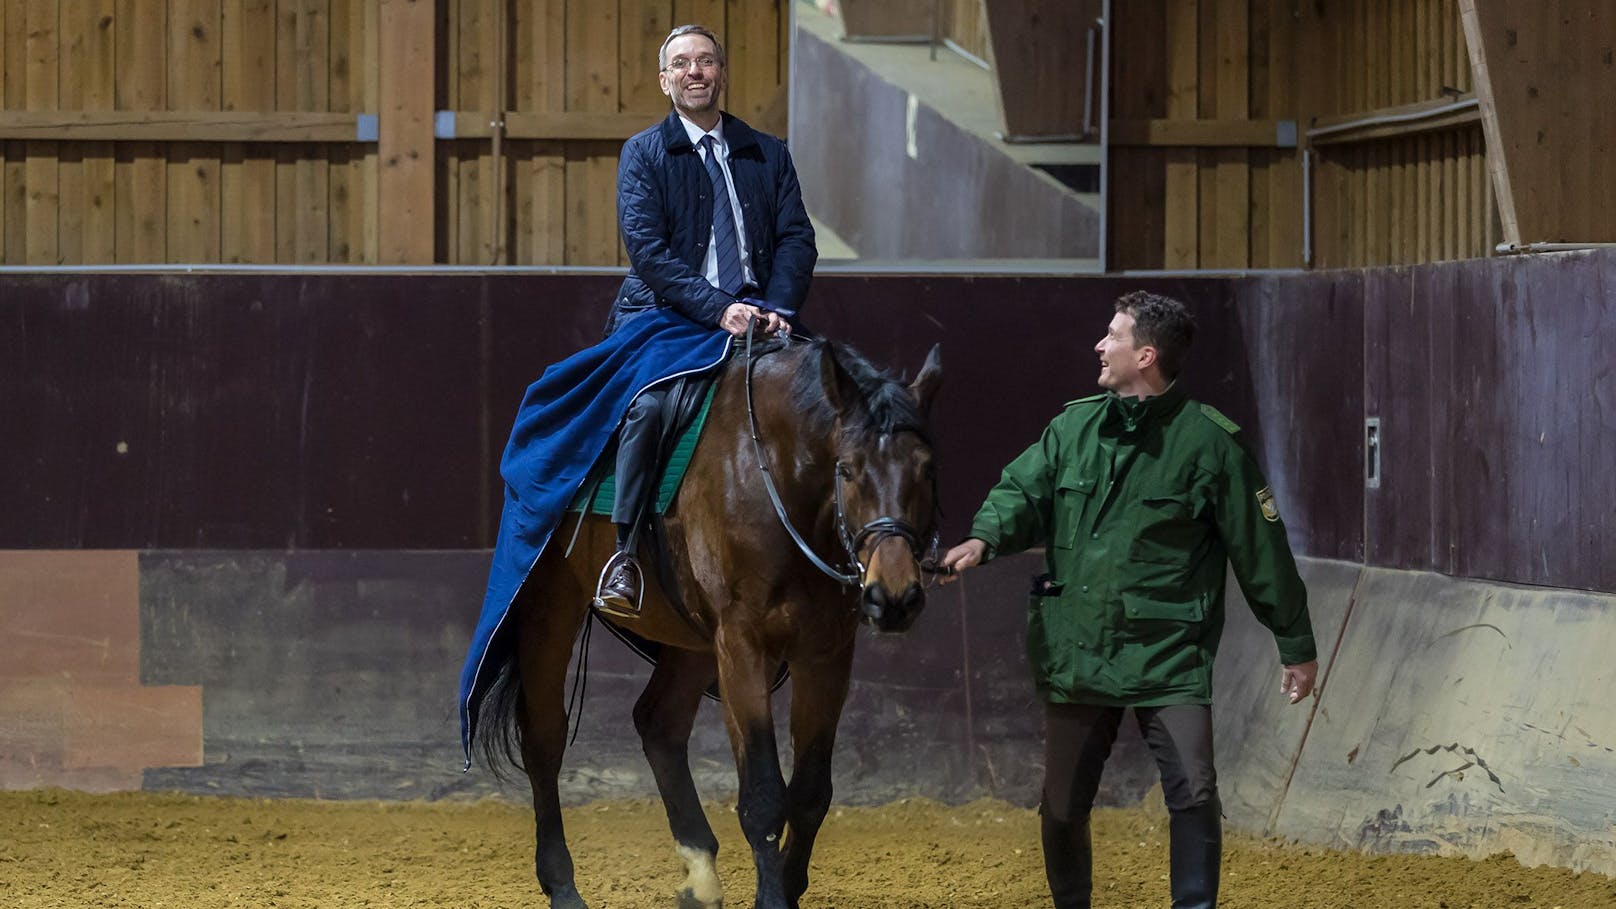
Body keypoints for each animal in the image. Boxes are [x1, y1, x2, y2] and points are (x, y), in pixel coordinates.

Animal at [471, 334, 943, 905]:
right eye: (848, 469)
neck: (776, 476)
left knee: (659, 723)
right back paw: (562, 884)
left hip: (691, 641)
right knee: (544, 737)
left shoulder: (826, 651)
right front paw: (772, 897)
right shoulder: (741, 643)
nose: (894, 597)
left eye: (927, 469)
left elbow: (811, 791)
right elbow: (764, 795)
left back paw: (699, 873)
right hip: (550, 606)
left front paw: (788, 885)